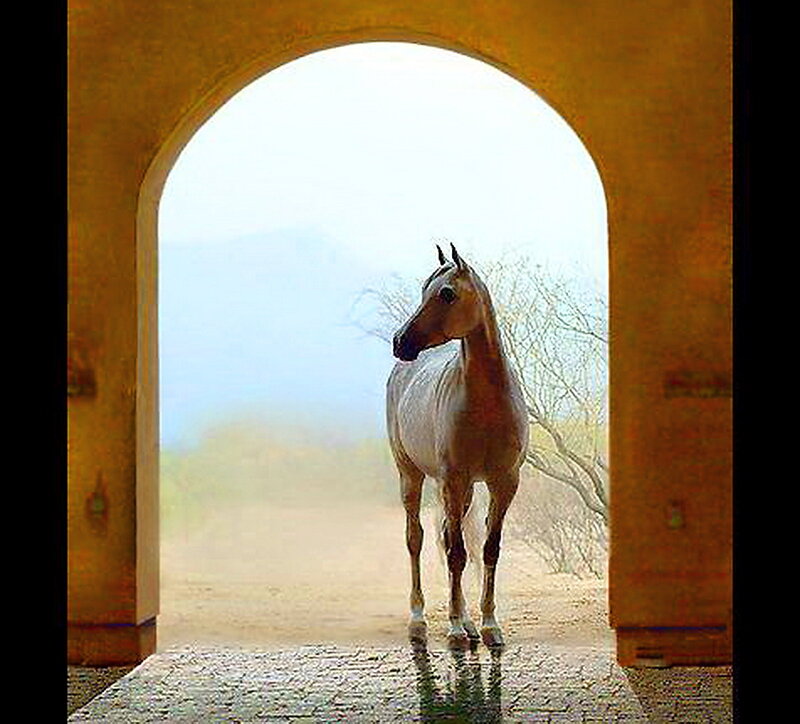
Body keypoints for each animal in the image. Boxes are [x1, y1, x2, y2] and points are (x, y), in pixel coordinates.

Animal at [386, 243, 529, 650]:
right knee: (418, 540)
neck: (487, 404)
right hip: (413, 476)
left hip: (462, 490)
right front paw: (452, 630)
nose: (400, 342)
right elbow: (455, 553)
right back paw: (419, 621)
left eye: (446, 293)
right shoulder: (452, 479)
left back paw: (467, 623)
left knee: (453, 536)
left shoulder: (503, 482)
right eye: (424, 291)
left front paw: (489, 624)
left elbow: (487, 549)